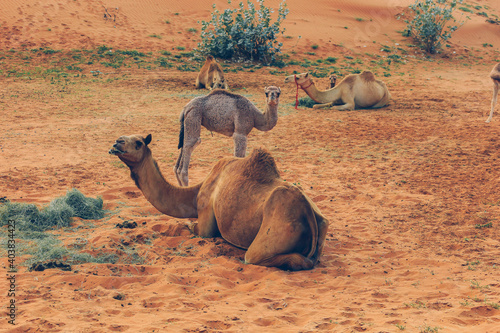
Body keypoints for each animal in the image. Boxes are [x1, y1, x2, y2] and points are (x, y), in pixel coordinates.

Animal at [109, 134, 328, 272]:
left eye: (138, 142)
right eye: (122, 138)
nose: (116, 143)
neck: (196, 192)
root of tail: (307, 212)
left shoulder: (205, 214)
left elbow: (193, 228)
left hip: (271, 235)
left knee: (260, 257)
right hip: (322, 221)